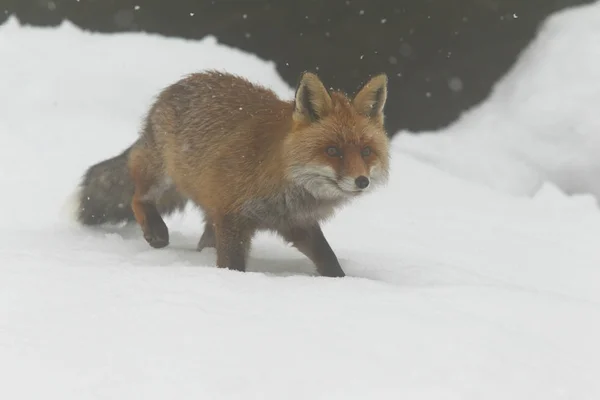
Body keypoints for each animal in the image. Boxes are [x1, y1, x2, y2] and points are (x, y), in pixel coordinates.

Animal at [74, 70, 390, 276]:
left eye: (366, 151)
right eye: (333, 150)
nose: (362, 181)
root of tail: (177, 85)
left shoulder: (297, 223)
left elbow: (328, 258)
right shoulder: (231, 216)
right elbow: (232, 265)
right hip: (161, 176)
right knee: (137, 197)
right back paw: (155, 230)